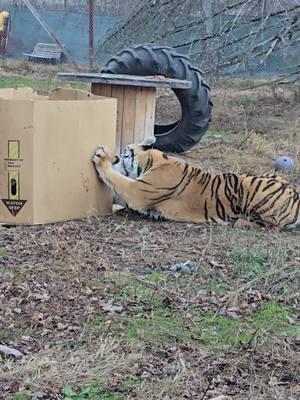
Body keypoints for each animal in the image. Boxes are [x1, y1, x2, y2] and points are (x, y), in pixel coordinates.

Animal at [92, 139, 300, 230]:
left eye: (123, 155)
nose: (116, 157)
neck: (153, 160)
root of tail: (296, 195)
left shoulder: (136, 191)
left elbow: (116, 179)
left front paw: (102, 156)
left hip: (252, 189)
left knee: (268, 225)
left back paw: (238, 222)